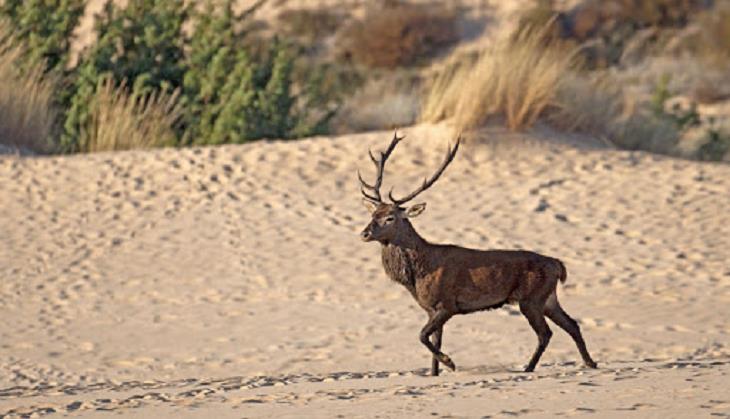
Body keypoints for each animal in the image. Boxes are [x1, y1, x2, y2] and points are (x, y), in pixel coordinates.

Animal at [358, 134, 596, 378]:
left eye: (390, 218)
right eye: (372, 214)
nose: (364, 233)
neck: (418, 275)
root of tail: (558, 265)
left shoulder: (447, 305)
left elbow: (422, 336)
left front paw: (450, 362)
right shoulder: (431, 309)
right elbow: (434, 342)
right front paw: (435, 372)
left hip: (531, 298)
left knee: (545, 333)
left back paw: (528, 368)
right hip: (548, 298)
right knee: (572, 324)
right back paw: (589, 363)